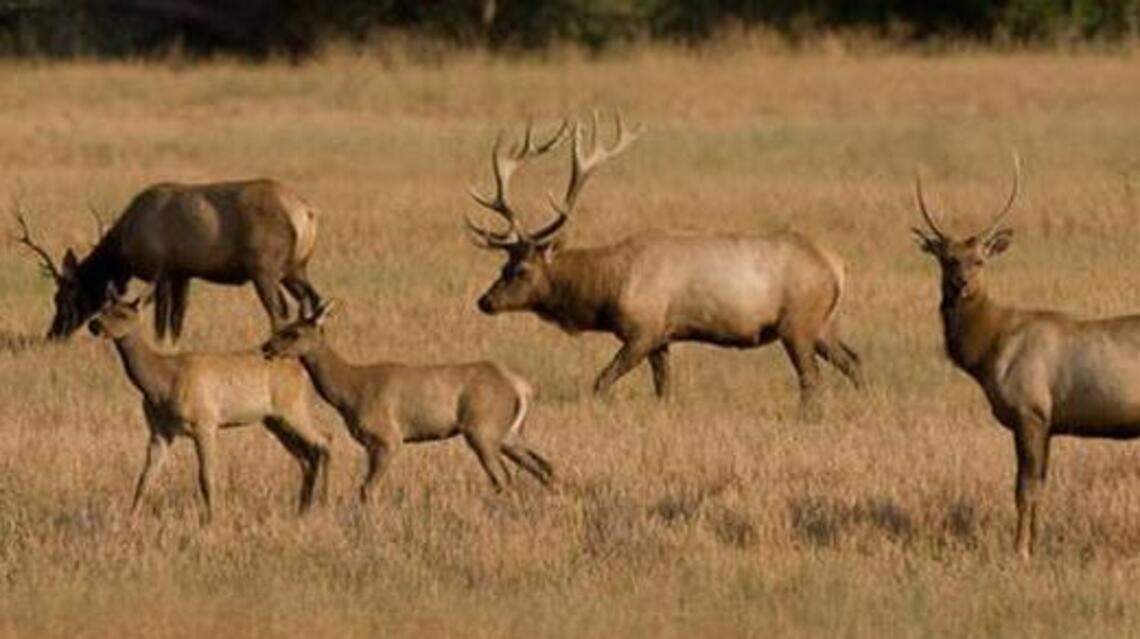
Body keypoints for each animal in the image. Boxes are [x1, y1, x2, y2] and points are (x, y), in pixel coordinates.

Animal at [14, 178, 322, 345]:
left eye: (63, 297)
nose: (53, 334)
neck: (124, 248)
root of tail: (306, 213)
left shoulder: (160, 271)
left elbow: (161, 321)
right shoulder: (183, 274)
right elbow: (177, 320)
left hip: (264, 269)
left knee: (280, 309)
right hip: (296, 268)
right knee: (314, 301)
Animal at [88, 285, 330, 523]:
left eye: (122, 314)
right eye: (103, 308)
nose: (94, 324)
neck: (162, 381)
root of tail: (301, 369)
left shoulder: (204, 422)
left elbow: (206, 476)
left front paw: (211, 520)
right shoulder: (159, 431)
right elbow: (145, 478)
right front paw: (130, 521)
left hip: (292, 407)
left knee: (324, 441)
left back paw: (320, 504)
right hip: (273, 420)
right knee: (306, 457)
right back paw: (303, 510)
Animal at [259, 300, 553, 501]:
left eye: (294, 332)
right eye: (284, 326)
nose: (266, 347)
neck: (350, 393)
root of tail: (520, 386)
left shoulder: (388, 438)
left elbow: (366, 489)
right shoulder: (372, 443)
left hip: (481, 429)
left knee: (503, 477)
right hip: (507, 433)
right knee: (543, 466)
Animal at [463, 113, 863, 412]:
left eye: (521, 270)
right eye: (501, 267)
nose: (485, 301)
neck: (606, 290)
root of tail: (838, 266)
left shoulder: (644, 329)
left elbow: (601, 381)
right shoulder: (663, 337)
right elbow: (663, 390)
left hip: (798, 323)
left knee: (811, 380)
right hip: (821, 324)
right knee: (854, 360)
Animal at [912, 153, 1140, 558]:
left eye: (979, 260)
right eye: (947, 259)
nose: (961, 284)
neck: (988, 351)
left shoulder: (1029, 410)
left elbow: (1024, 490)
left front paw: (1020, 551)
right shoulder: (1048, 422)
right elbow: (1041, 488)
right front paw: (1036, 543)